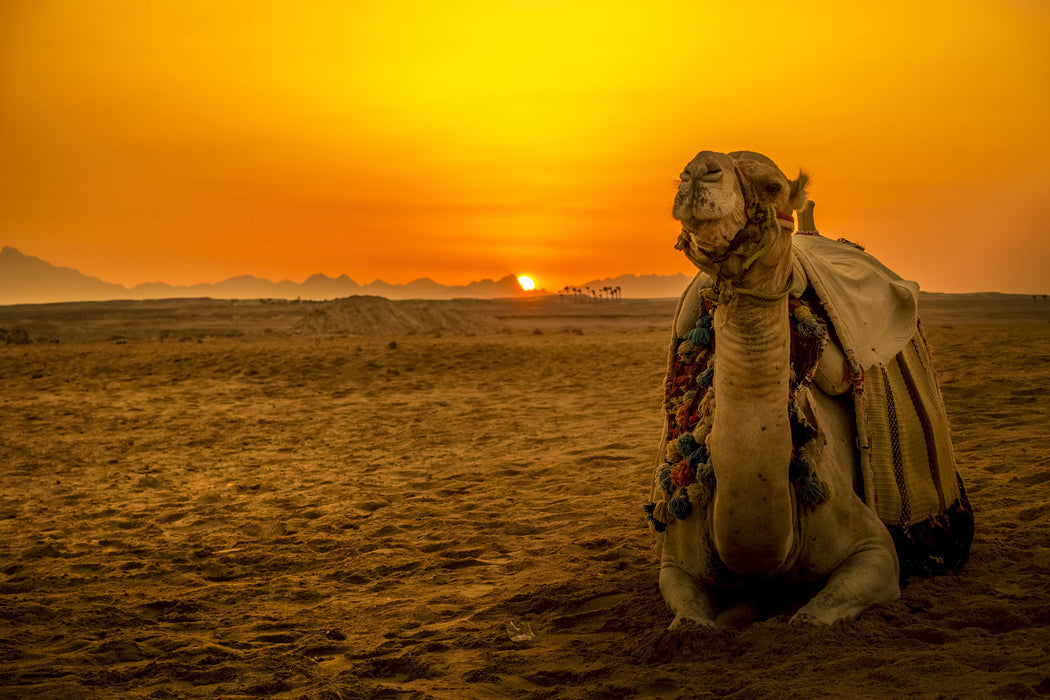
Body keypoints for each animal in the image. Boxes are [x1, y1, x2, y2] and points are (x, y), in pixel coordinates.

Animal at [646, 149, 974, 629]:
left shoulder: (874, 550)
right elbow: (688, 622)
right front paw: (726, 616)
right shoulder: (675, 562)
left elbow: (809, 619)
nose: (698, 170)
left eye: (773, 186)